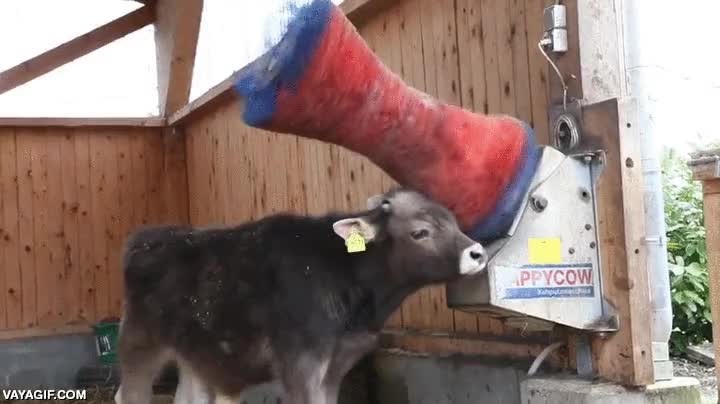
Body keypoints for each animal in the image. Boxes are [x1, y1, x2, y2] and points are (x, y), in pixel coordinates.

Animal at [114, 188, 487, 404]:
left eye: (454, 221)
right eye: (420, 232)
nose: (477, 253)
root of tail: (149, 236)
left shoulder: (338, 364)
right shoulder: (300, 362)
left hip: (194, 351)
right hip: (139, 341)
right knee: (129, 395)